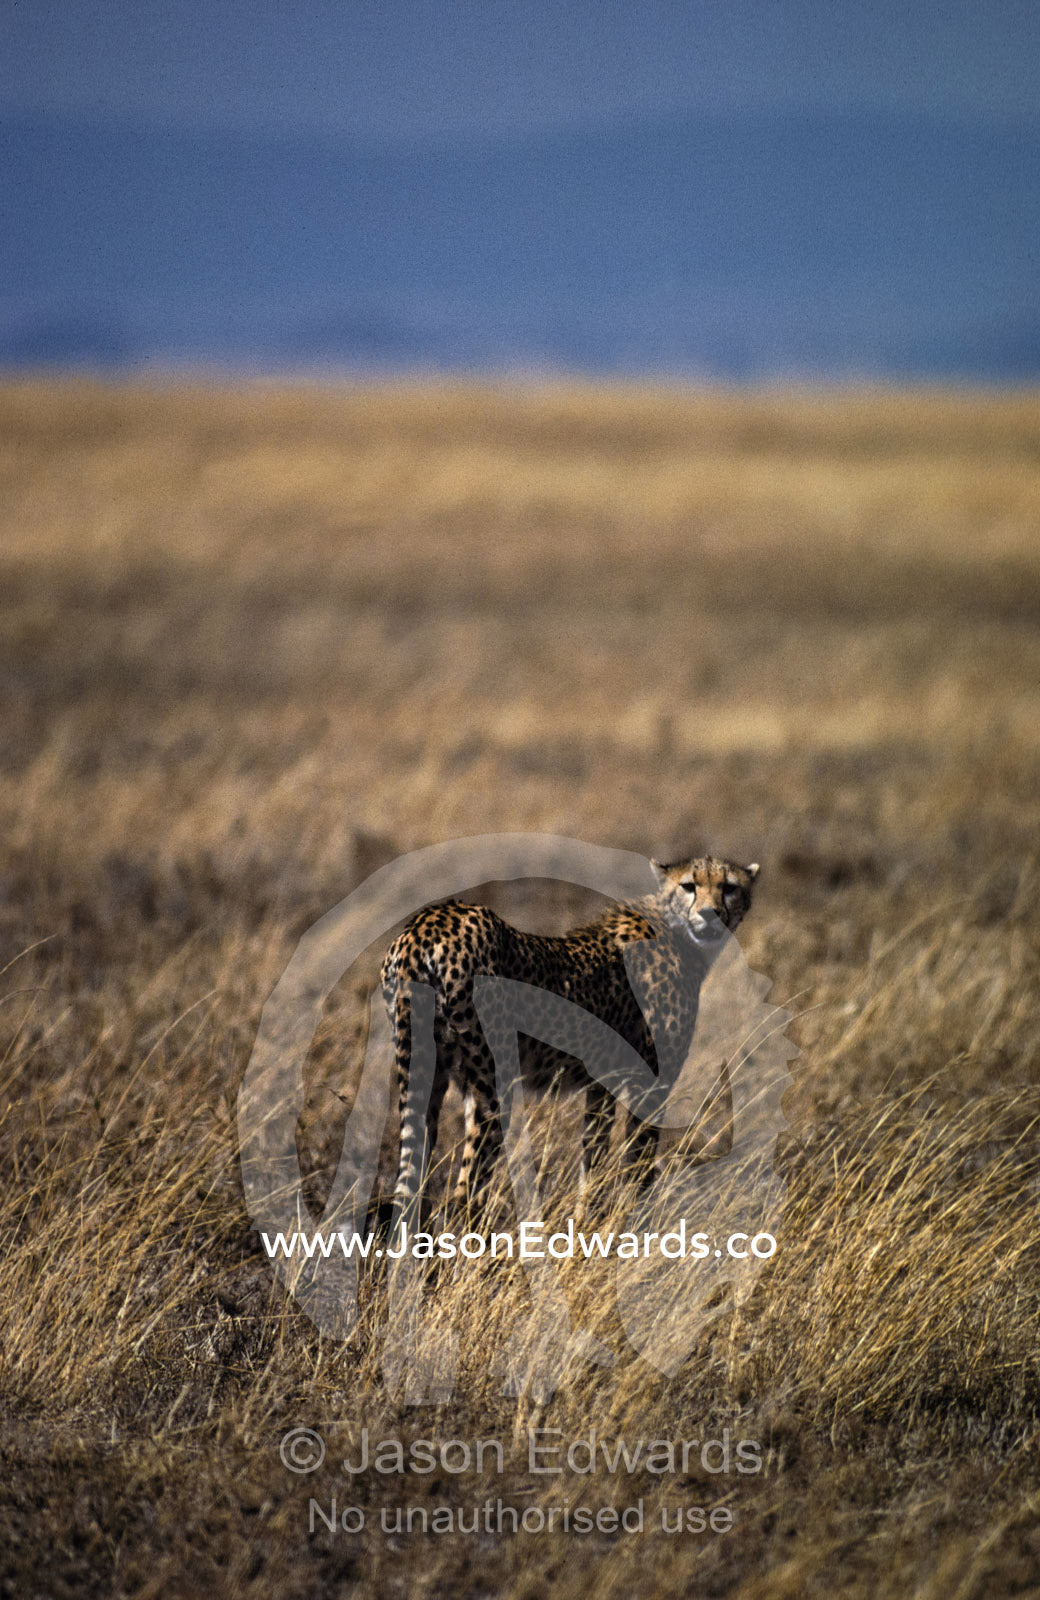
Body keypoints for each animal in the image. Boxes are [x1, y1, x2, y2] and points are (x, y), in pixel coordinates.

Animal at [379, 854, 759, 1221]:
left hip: (425, 1074)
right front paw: (629, 1228)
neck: (679, 934)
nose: (710, 914)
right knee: (466, 1193)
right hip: (490, 1085)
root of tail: (428, 924)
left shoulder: (602, 1084)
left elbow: (593, 1160)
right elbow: (638, 1167)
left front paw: (586, 1223)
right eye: (689, 886)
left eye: (728, 887)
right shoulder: (651, 1084)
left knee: (412, 1188)